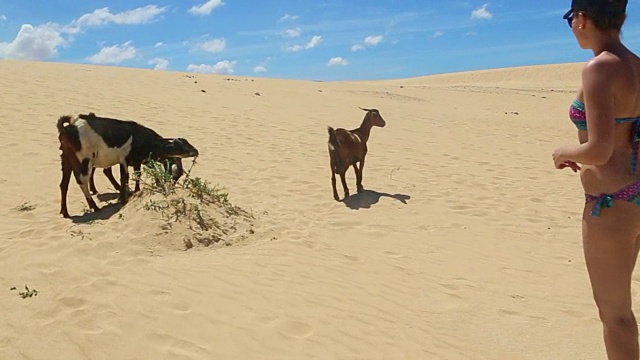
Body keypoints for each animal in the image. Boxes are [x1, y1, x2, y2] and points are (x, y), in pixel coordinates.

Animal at [57, 112, 199, 218]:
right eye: (181, 145)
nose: (196, 151)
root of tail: (69, 128)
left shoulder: (136, 161)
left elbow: (137, 175)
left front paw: (135, 192)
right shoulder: (124, 159)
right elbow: (125, 177)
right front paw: (123, 199)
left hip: (66, 159)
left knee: (64, 184)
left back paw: (65, 212)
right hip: (84, 160)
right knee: (82, 181)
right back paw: (95, 207)